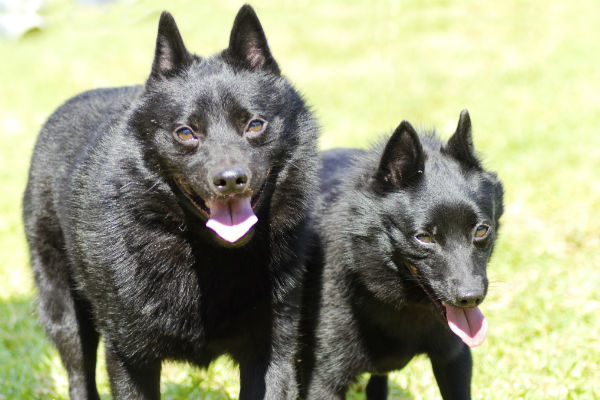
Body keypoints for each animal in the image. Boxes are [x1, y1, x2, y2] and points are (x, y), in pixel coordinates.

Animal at [22, 6, 318, 400]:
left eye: (255, 125)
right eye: (186, 133)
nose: (230, 180)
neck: (210, 255)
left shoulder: (271, 353)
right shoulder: (130, 357)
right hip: (64, 313)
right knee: (79, 375)